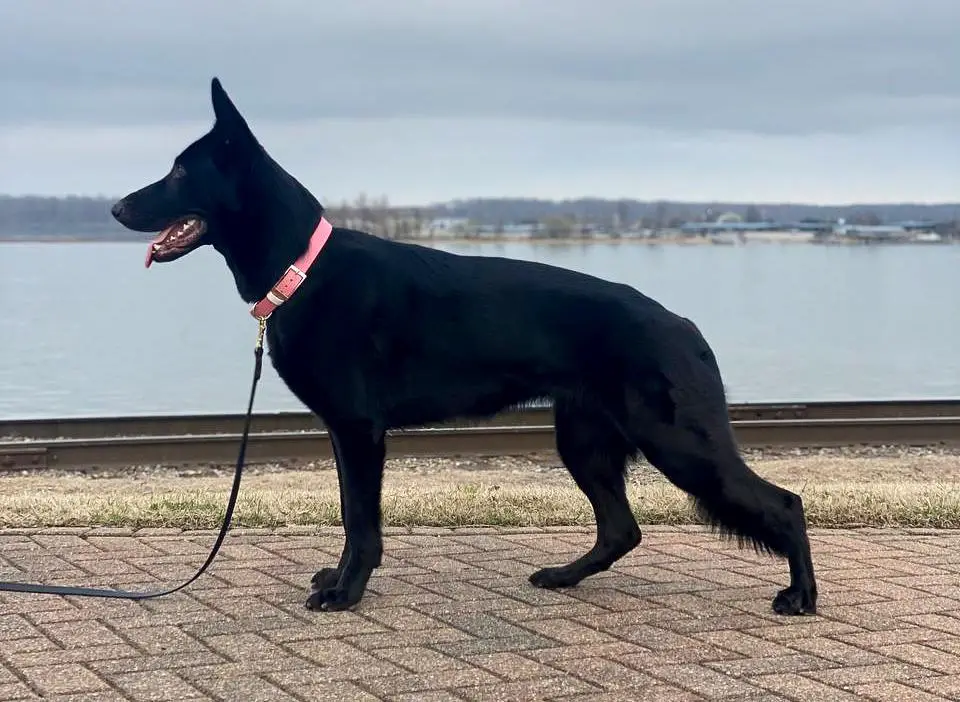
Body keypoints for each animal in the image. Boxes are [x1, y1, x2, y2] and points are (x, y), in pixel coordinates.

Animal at [112, 77, 816, 616]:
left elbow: (361, 521)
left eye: (178, 171)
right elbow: (349, 514)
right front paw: (339, 579)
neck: (302, 268)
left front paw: (347, 592)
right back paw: (562, 577)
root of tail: (682, 324)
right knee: (622, 528)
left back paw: (801, 596)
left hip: (676, 444)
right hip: (584, 441)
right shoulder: (346, 434)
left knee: (784, 503)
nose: (116, 208)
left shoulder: (359, 432)